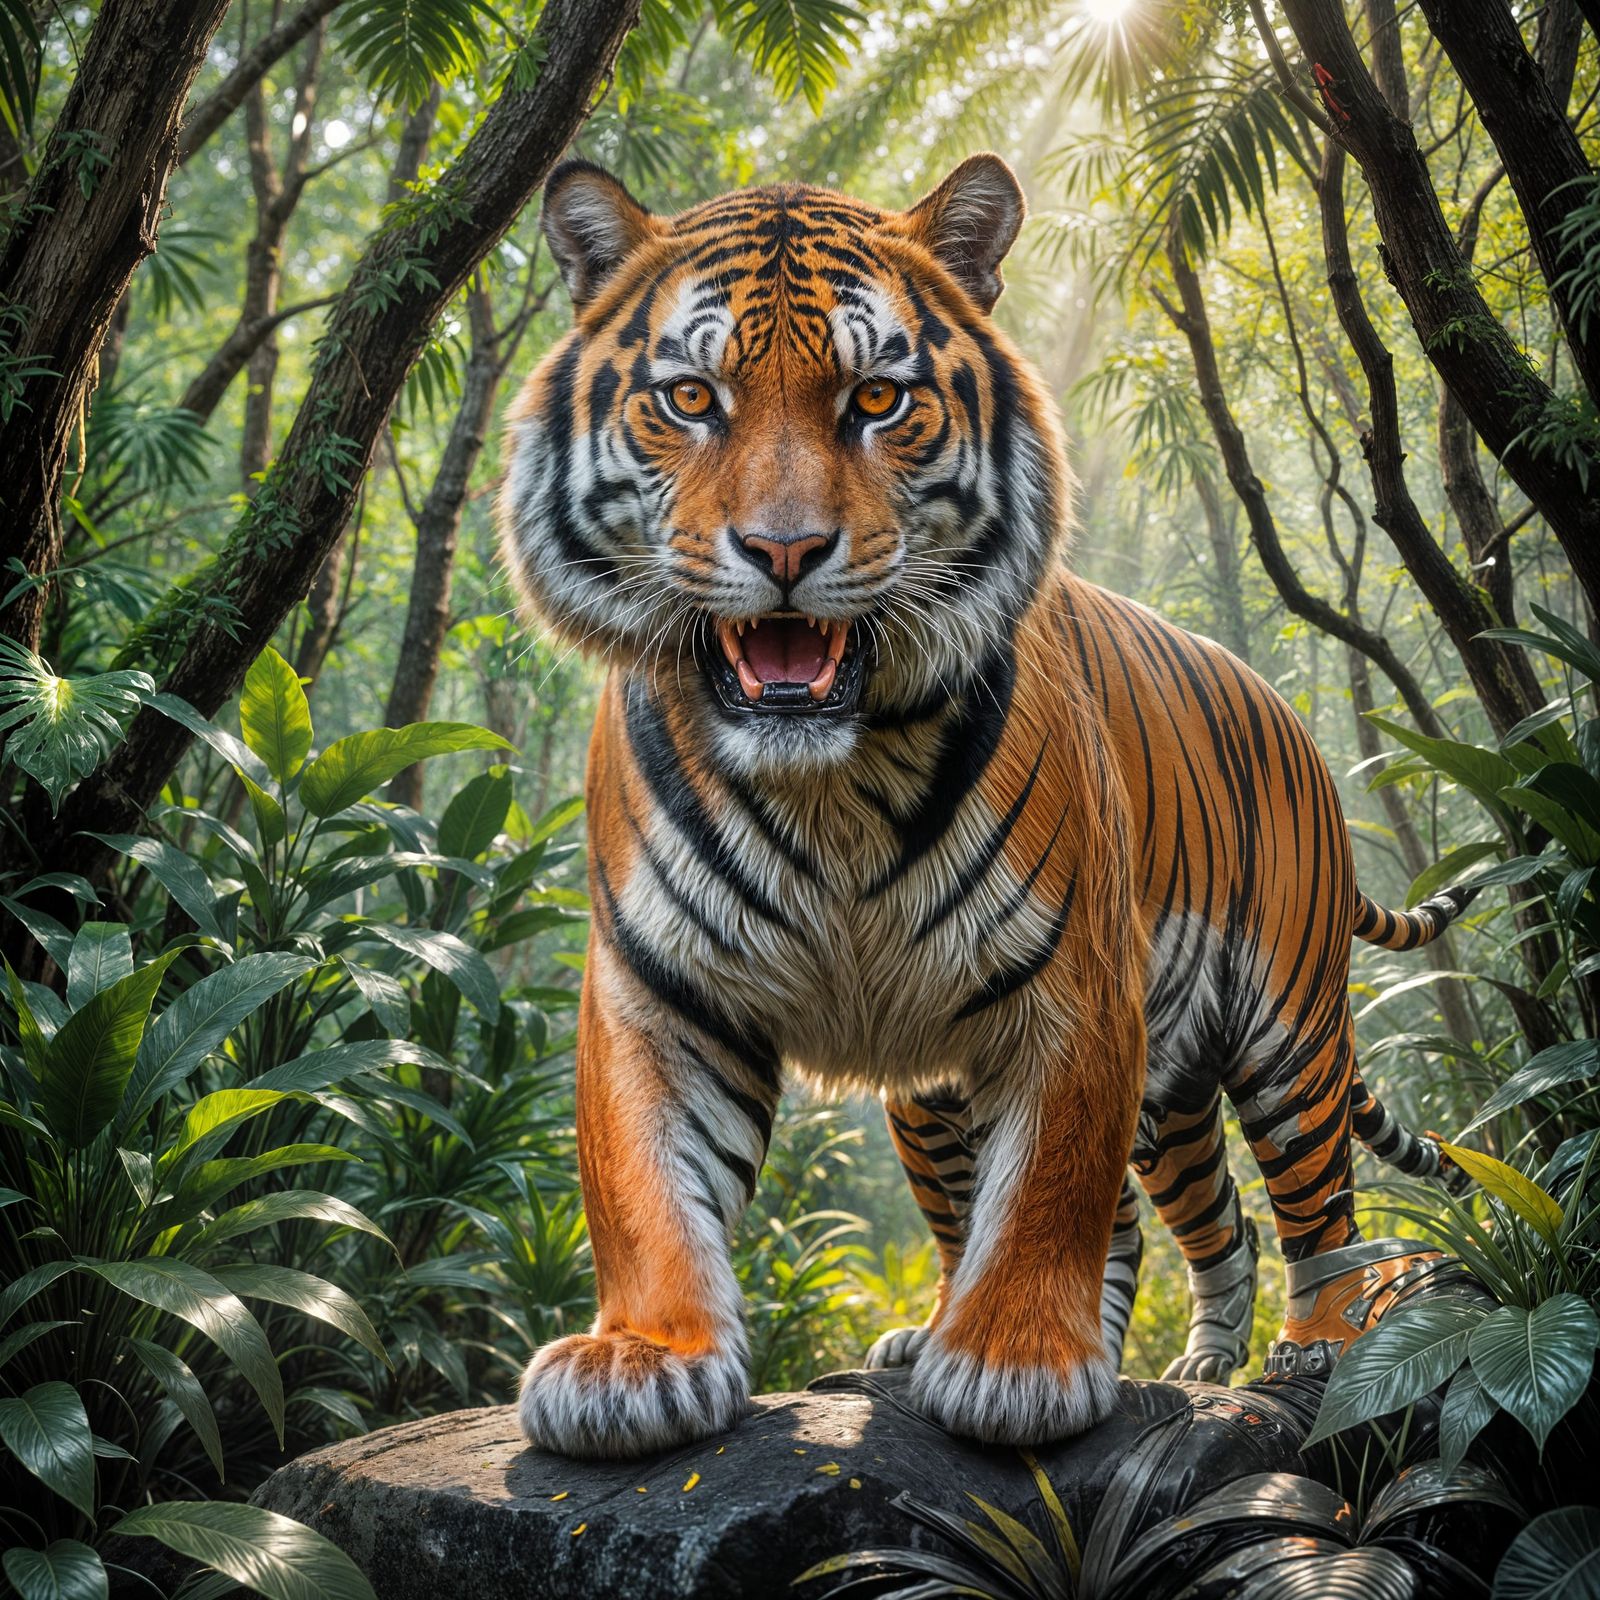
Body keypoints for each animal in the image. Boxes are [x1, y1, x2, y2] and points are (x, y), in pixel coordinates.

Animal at [495, 152, 1468, 1460]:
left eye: (876, 399)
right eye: (691, 398)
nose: (784, 550)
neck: (826, 780)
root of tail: (1290, 718)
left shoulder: (1076, 984)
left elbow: (1047, 1185)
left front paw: (1013, 1363)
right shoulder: (659, 984)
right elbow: (644, 1181)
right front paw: (639, 1360)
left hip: (1287, 1034)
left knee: (1317, 1215)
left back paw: (1310, 1353)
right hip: (1100, 1095)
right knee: (1205, 1218)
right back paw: (1183, 1356)